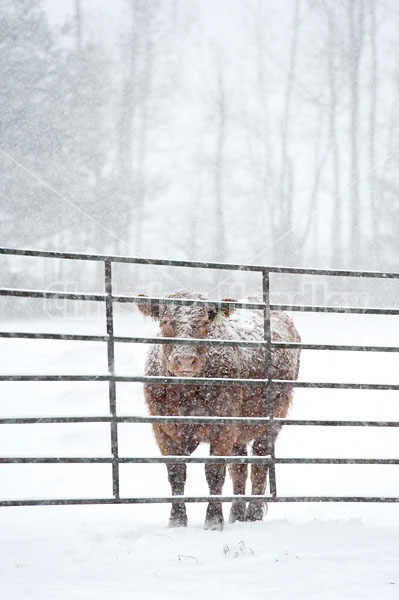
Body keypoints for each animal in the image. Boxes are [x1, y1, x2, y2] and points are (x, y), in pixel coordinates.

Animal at [139, 290, 302, 528]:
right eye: (165, 321)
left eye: (205, 322)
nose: (185, 360)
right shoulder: (162, 428)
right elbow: (176, 472)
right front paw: (177, 520)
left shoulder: (224, 427)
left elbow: (214, 471)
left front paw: (214, 520)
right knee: (239, 467)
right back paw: (236, 514)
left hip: (272, 418)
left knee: (259, 464)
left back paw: (253, 514)